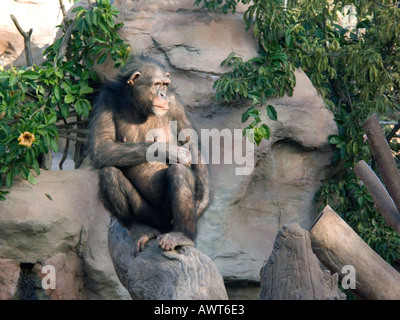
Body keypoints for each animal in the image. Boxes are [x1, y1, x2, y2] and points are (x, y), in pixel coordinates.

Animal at [87, 55, 209, 255]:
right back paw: (140, 229)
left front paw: (202, 203)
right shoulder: (106, 100)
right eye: (156, 84)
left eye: (166, 85)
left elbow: (191, 144)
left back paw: (182, 235)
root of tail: (162, 227)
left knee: (179, 172)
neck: (139, 105)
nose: (162, 95)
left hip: (168, 219)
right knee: (109, 173)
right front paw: (171, 151)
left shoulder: (175, 105)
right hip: (147, 214)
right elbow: (102, 145)